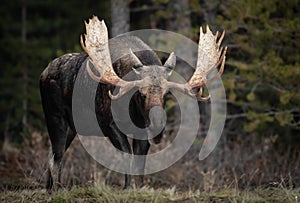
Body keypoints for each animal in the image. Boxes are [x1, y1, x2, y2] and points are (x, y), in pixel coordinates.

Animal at [40, 15, 227, 190]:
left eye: (166, 94)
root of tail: (43, 73)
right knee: (57, 154)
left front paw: (141, 186)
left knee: (52, 154)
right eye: (141, 94)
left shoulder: (142, 131)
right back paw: (58, 188)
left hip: (72, 128)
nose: (158, 123)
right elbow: (127, 154)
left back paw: (50, 188)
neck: (133, 112)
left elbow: (140, 161)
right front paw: (127, 187)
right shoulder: (110, 124)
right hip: (55, 117)